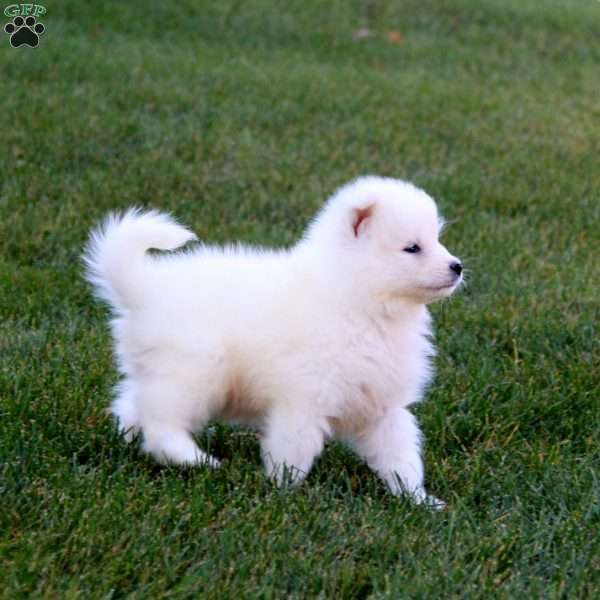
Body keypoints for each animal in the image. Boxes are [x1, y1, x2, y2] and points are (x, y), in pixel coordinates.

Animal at [82, 177, 462, 506]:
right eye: (412, 248)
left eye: (437, 239)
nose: (457, 266)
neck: (356, 300)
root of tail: (144, 288)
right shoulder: (303, 400)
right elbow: (293, 449)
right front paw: (284, 493)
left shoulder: (382, 406)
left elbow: (400, 456)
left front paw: (418, 500)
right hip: (194, 371)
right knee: (162, 425)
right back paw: (197, 460)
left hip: (160, 370)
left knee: (134, 406)